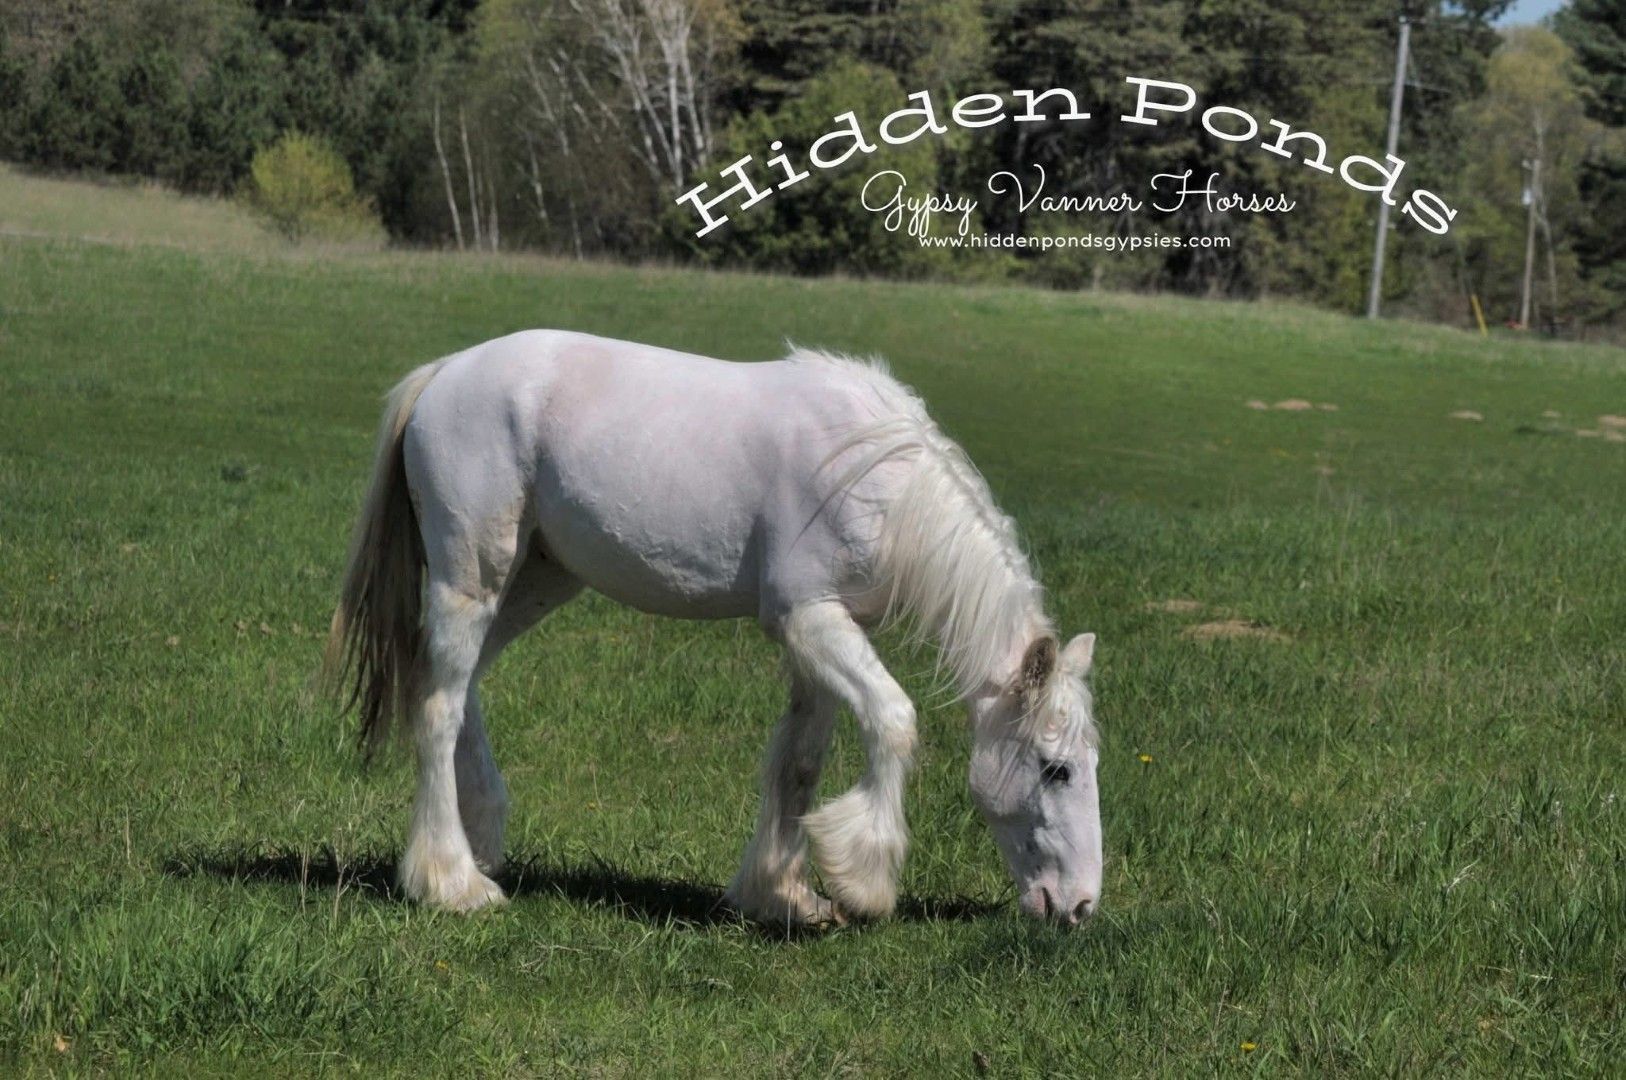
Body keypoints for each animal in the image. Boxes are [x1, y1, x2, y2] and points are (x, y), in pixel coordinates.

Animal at [323, 330, 1102, 927]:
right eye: (1054, 768)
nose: (1081, 906)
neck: (876, 477)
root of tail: (444, 373)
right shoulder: (809, 618)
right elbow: (893, 720)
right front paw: (862, 881)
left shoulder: (821, 635)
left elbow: (799, 762)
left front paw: (783, 897)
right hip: (471, 577)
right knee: (437, 707)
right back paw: (452, 882)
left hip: (537, 580)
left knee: (459, 687)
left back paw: (480, 838)